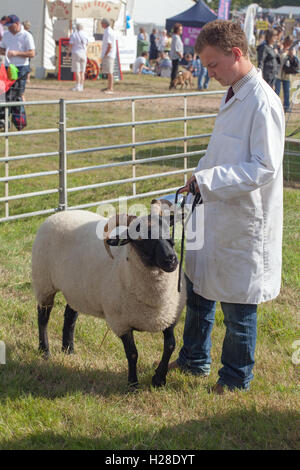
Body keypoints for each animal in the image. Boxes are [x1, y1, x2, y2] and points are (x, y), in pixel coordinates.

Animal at [31, 202, 185, 390]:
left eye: (168, 230)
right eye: (140, 239)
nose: (171, 259)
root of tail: (59, 214)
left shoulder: (169, 317)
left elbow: (170, 346)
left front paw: (159, 379)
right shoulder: (121, 323)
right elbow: (132, 354)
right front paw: (133, 384)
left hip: (76, 288)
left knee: (70, 316)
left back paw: (68, 350)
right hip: (44, 283)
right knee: (43, 317)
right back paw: (44, 351)